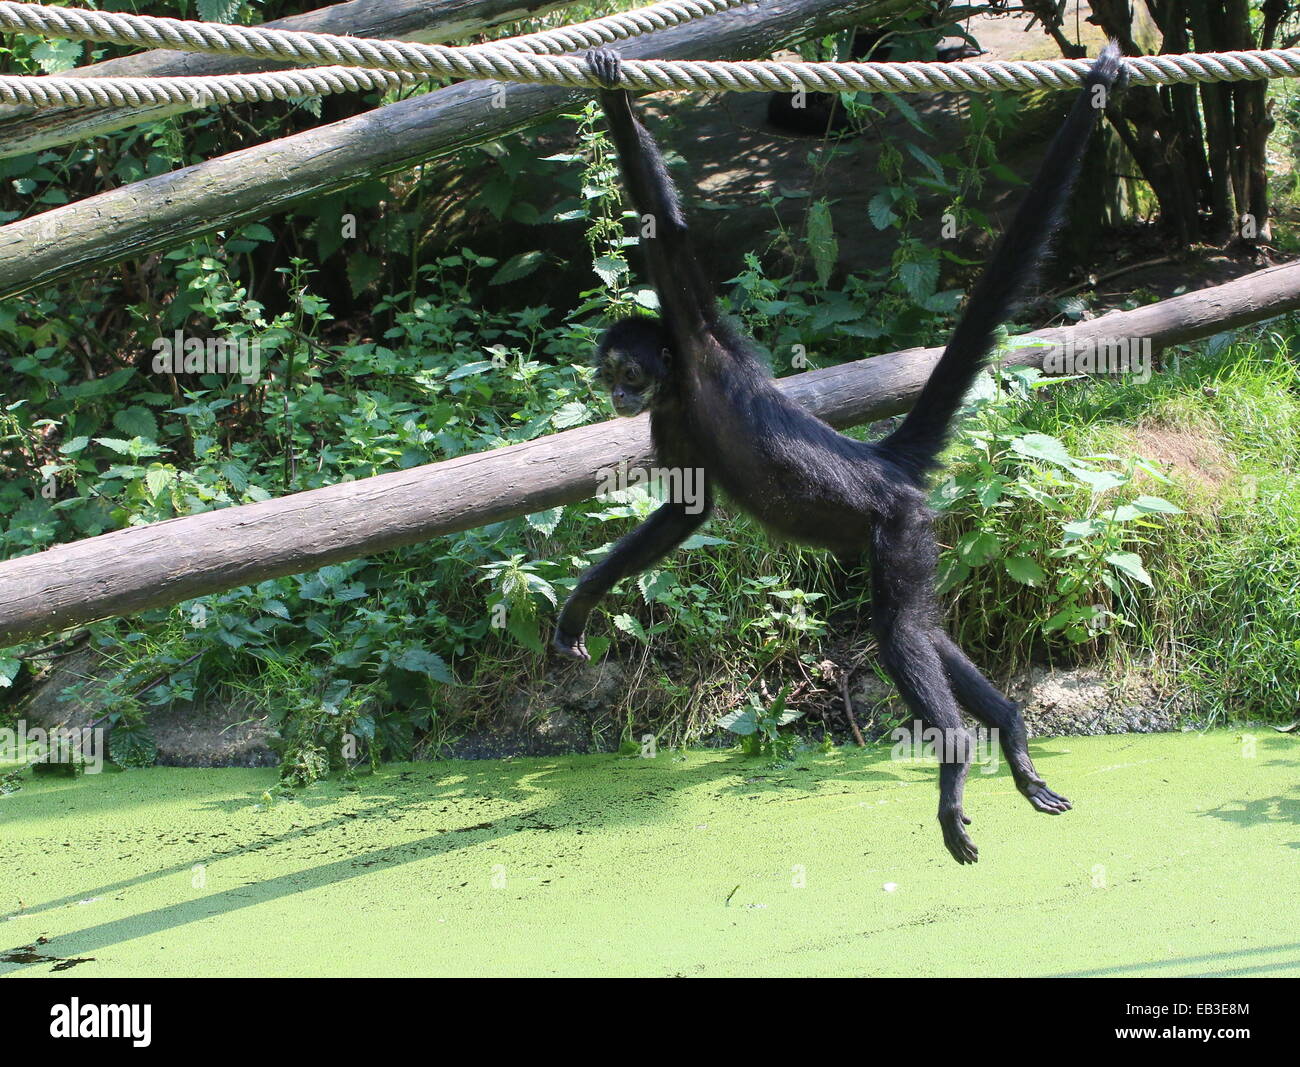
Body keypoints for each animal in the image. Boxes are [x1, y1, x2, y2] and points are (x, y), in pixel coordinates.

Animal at [559, 41, 1128, 862]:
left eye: (627, 373)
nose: (617, 398)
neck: (682, 389)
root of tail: (882, 462)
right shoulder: (671, 421)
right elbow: (684, 512)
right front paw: (579, 606)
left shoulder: (698, 337)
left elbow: (666, 230)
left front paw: (614, 94)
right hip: (910, 537)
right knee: (925, 628)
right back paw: (1011, 732)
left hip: (900, 525)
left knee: (899, 633)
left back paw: (958, 754)